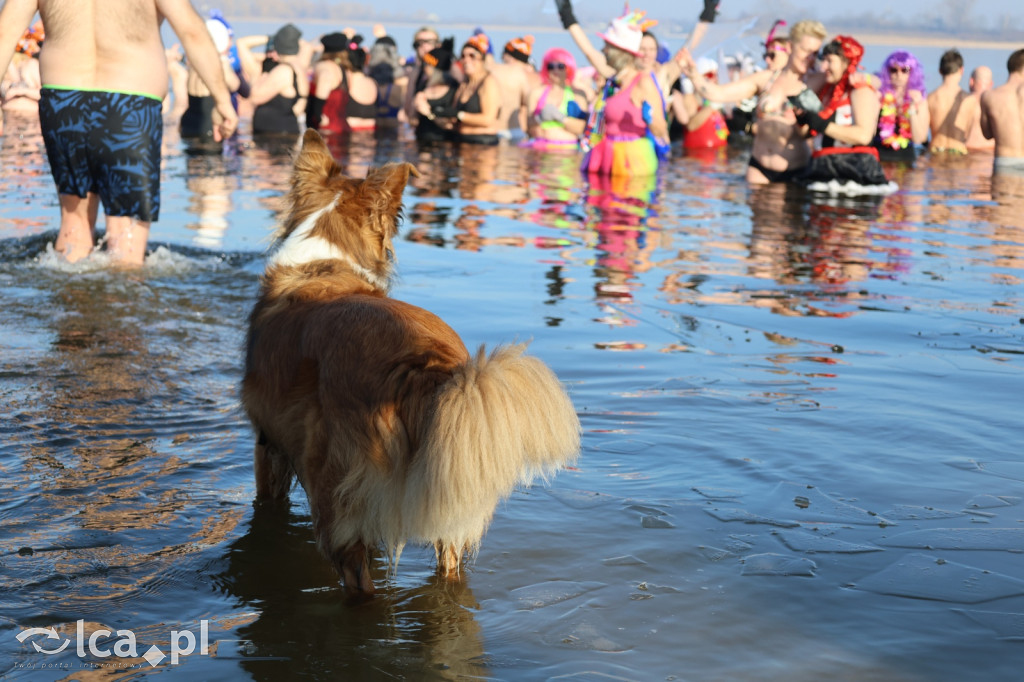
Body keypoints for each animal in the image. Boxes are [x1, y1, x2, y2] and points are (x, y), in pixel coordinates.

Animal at [236, 130, 581, 593]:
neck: (324, 254)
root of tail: (421, 363)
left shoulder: (267, 442)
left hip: (334, 493)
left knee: (360, 584)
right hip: (452, 484)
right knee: (449, 568)